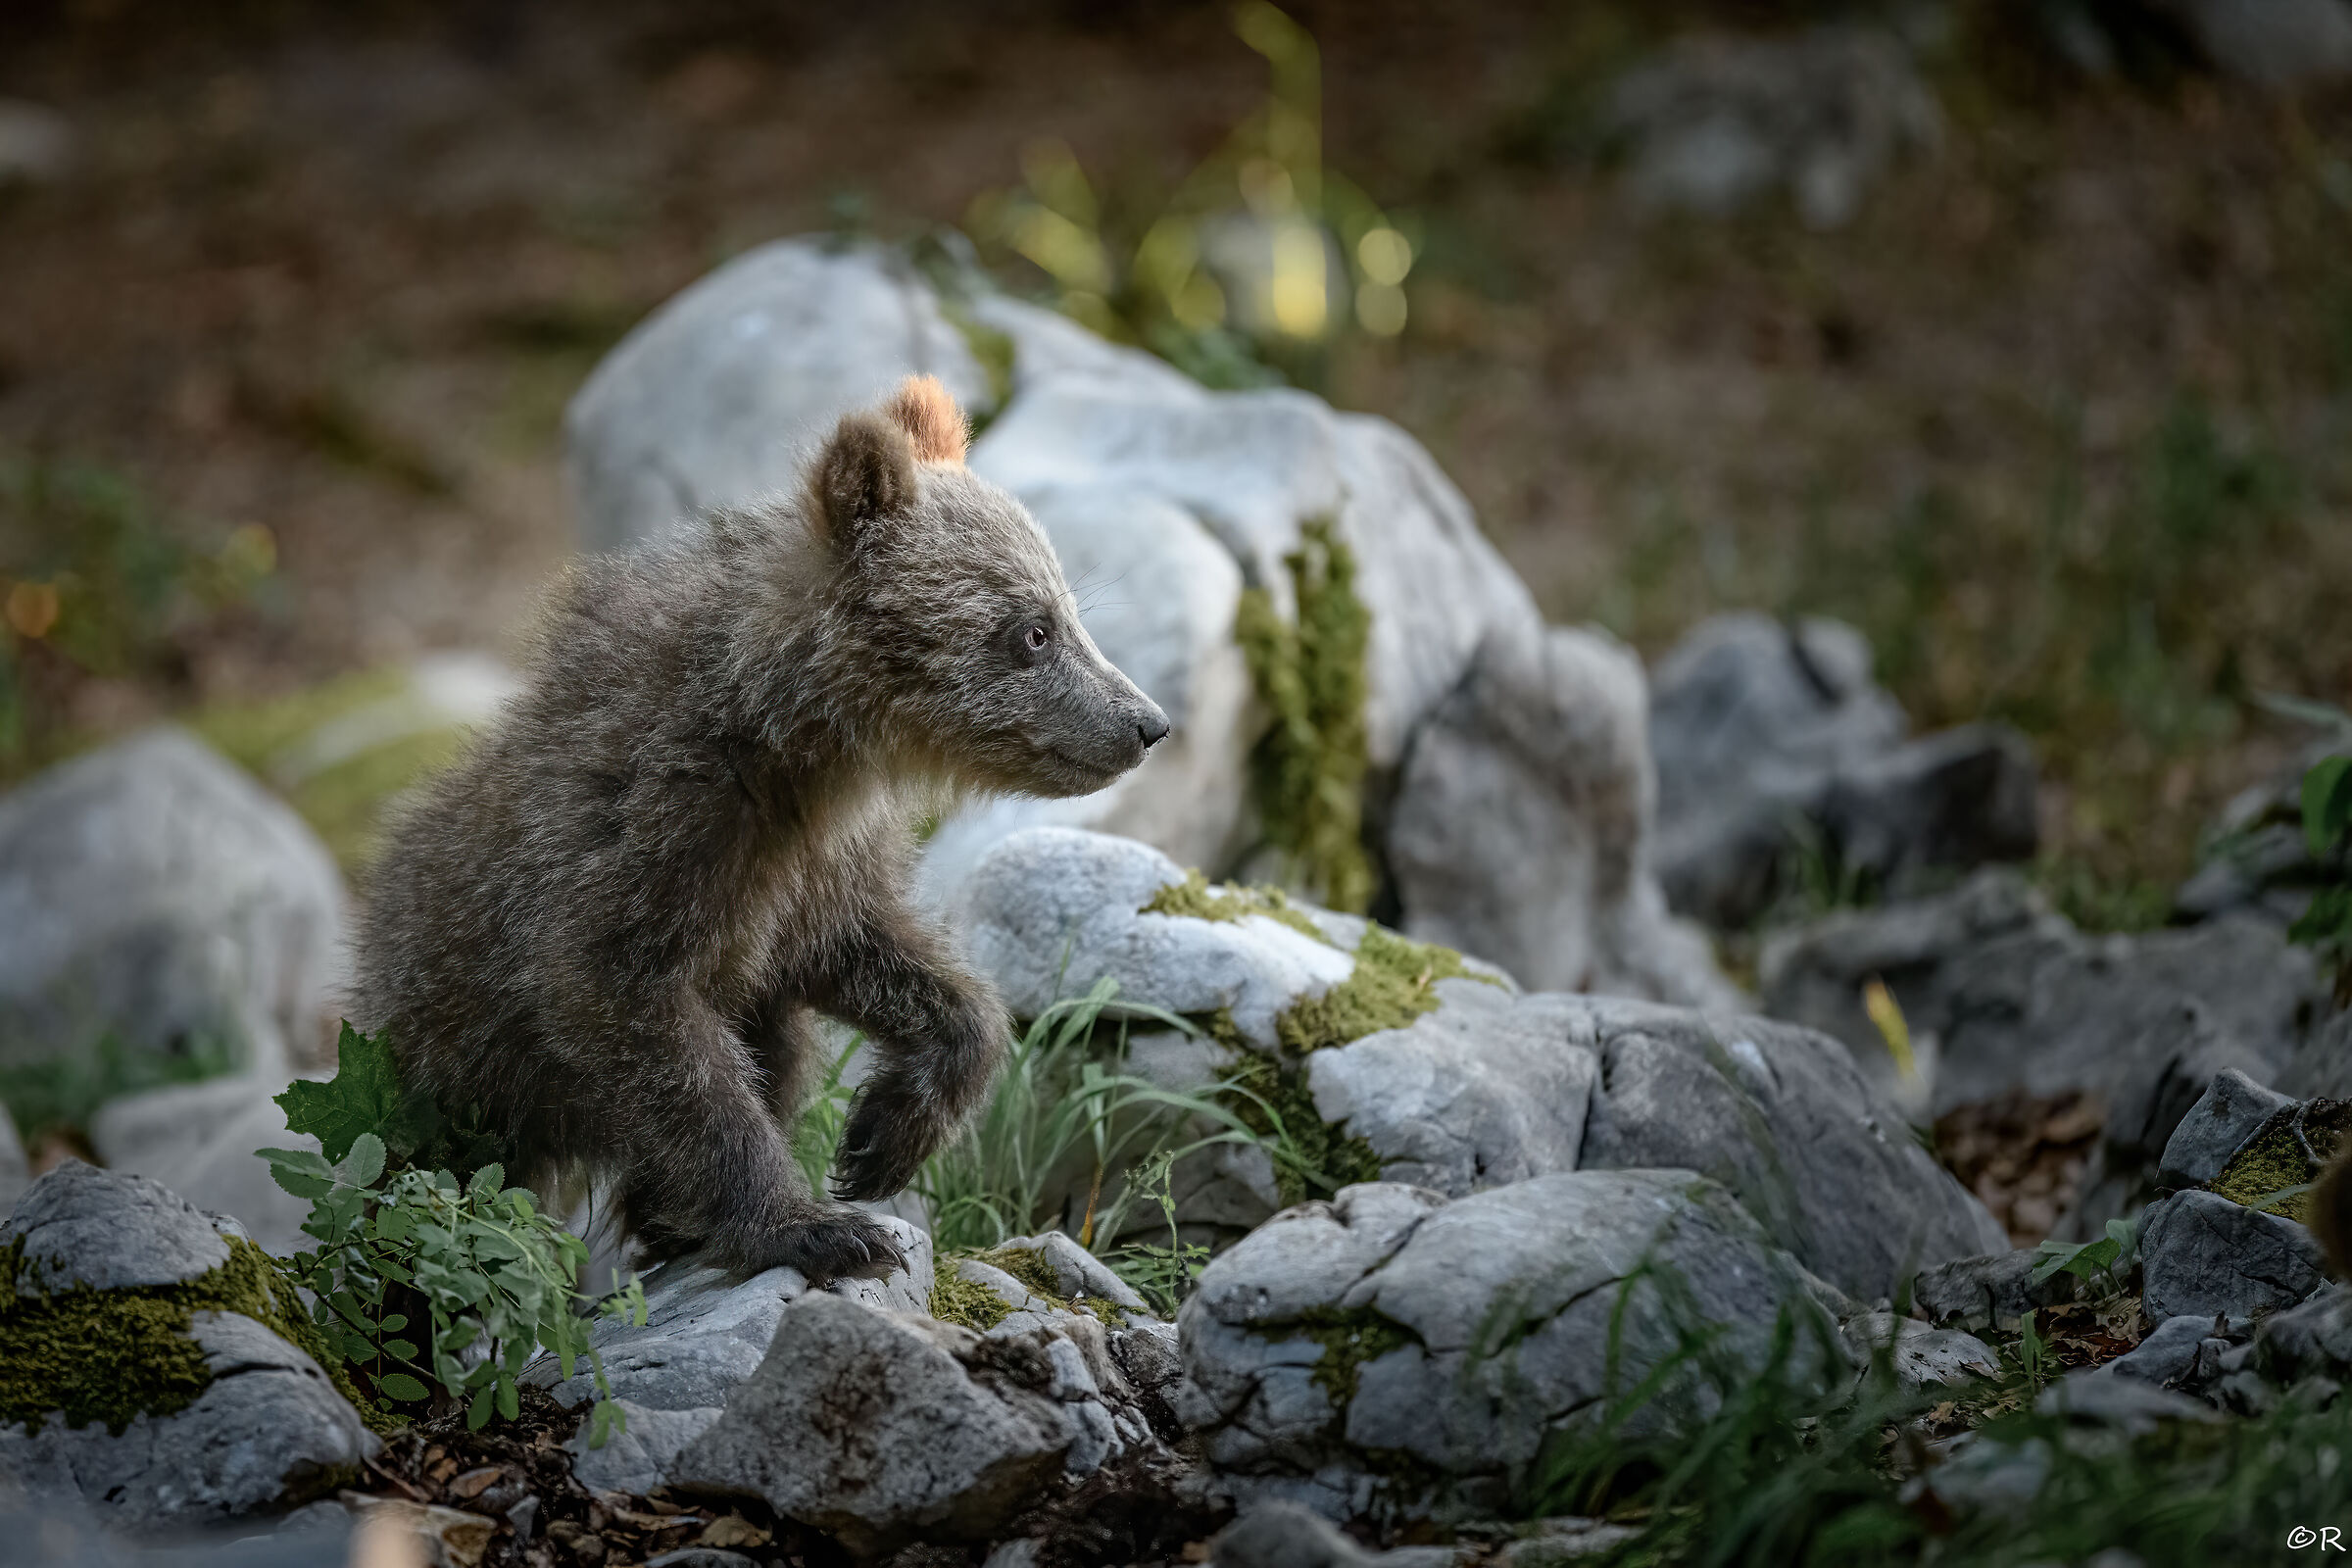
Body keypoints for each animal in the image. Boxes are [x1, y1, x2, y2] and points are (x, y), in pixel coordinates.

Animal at [353, 375, 1170, 1282]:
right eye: (1032, 630)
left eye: (1069, 612)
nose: (1145, 723)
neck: (790, 739)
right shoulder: (652, 837)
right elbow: (639, 1023)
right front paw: (815, 1225)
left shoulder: (814, 867)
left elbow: (890, 964)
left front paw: (882, 1138)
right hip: (451, 1064)